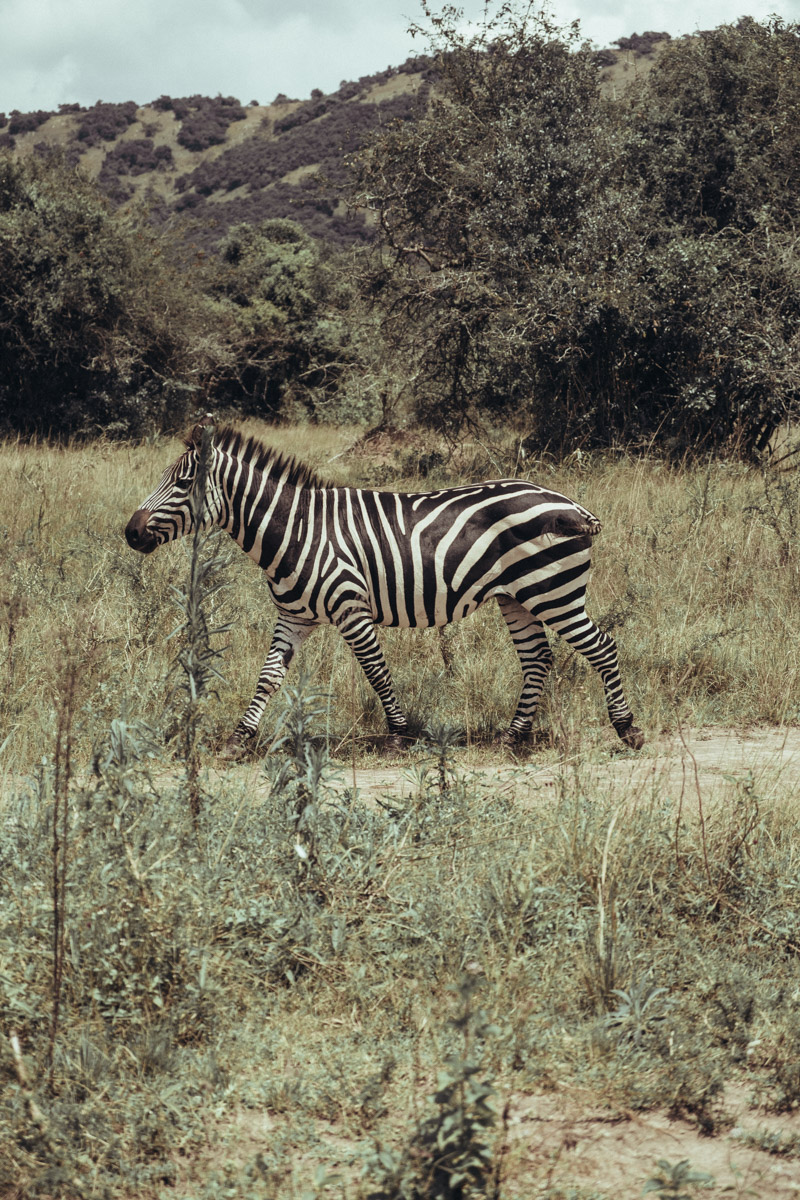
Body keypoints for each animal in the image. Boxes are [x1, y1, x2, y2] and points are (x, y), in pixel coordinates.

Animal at [128, 420, 647, 758]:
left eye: (184, 482)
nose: (130, 533)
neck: (295, 529)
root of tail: (572, 505)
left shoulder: (350, 606)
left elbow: (375, 670)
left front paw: (399, 733)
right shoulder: (294, 616)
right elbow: (269, 676)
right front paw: (239, 739)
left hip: (554, 592)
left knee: (602, 647)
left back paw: (627, 729)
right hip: (517, 597)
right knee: (537, 658)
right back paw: (513, 737)